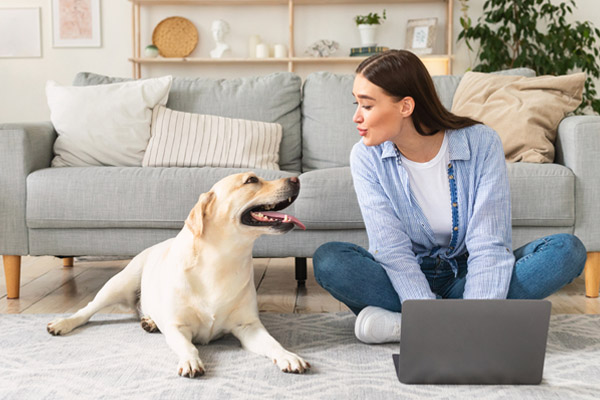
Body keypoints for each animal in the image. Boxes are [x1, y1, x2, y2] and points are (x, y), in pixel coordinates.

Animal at [48, 173, 310, 378]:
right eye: (251, 180)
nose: (297, 179)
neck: (223, 261)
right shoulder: (177, 327)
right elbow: (188, 347)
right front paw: (190, 361)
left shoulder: (248, 326)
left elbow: (273, 343)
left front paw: (288, 356)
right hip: (118, 284)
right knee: (86, 310)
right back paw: (62, 323)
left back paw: (150, 321)